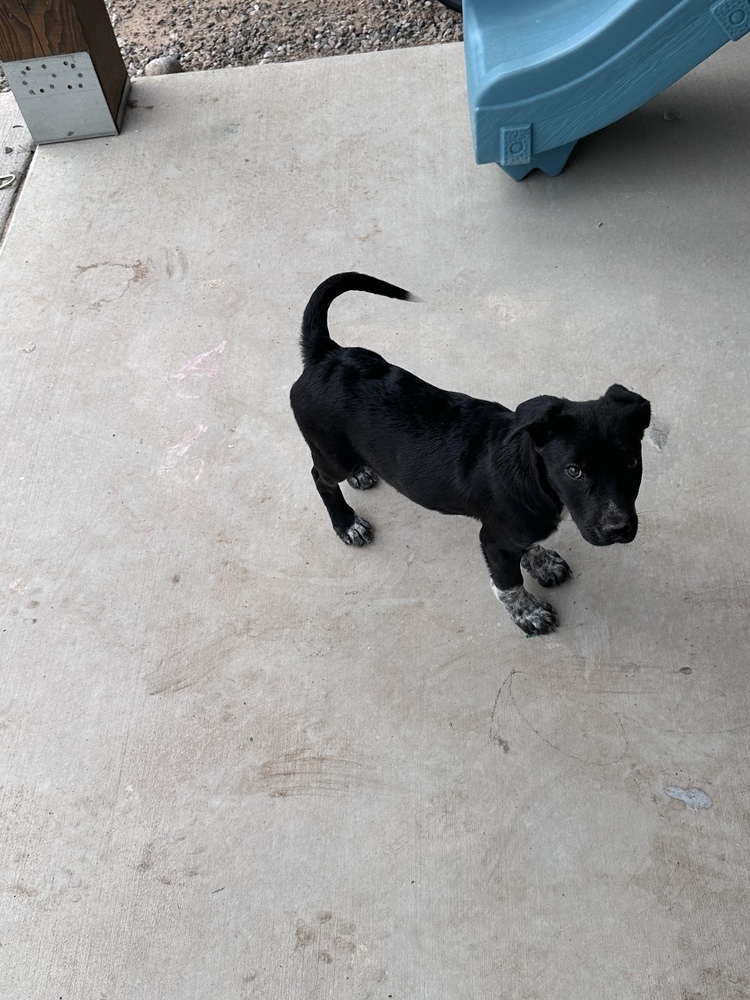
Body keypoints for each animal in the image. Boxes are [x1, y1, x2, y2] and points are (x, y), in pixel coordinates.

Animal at [290, 272, 652, 632]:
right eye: (573, 471)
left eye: (632, 463)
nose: (618, 530)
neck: (536, 477)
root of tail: (325, 354)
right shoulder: (493, 540)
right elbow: (508, 583)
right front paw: (528, 612)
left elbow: (528, 546)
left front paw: (542, 562)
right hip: (332, 452)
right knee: (320, 477)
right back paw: (347, 522)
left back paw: (362, 472)